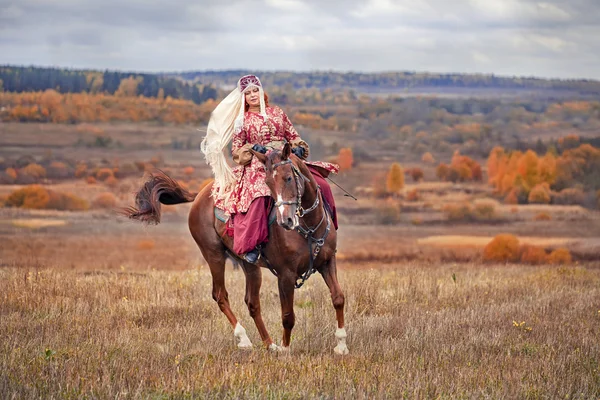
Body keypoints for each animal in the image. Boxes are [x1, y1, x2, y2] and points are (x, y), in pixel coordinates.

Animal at [123, 142, 346, 354]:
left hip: (249, 265)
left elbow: (338, 298)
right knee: (220, 295)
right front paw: (286, 349)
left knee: (252, 303)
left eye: (289, 178)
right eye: (267, 182)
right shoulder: (286, 274)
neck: (308, 226)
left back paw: (269, 344)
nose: (286, 221)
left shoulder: (327, 262)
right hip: (213, 255)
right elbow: (288, 315)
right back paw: (244, 339)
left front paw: (341, 346)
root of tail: (201, 194)